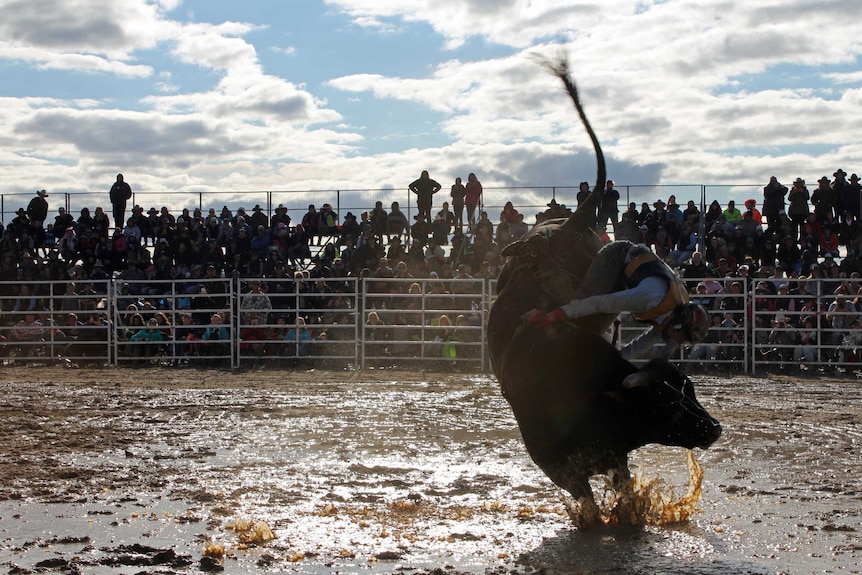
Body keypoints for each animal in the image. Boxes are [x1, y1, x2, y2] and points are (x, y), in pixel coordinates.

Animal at [486, 60, 724, 524]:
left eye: (689, 389)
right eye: (666, 402)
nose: (714, 428)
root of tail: (566, 224)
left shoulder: (614, 459)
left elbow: (623, 495)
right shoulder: (559, 466)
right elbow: (590, 507)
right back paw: (527, 251)